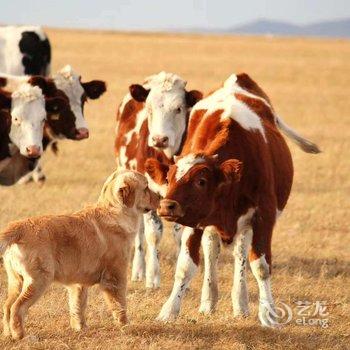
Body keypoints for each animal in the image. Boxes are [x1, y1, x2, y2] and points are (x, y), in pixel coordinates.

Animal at [0, 170, 160, 340]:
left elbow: (78, 306)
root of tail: (20, 226)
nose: (161, 197)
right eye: (146, 187)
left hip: (16, 281)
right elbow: (120, 304)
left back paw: (8, 334)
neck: (114, 212)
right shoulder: (115, 276)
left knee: (7, 306)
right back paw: (22, 336)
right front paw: (125, 326)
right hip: (39, 280)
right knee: (17, 308)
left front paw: (81, 328)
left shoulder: (78, 283)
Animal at [115, 71, 202, 288]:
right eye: (149, 107)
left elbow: (179, 234)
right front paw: (152, 277)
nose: (160, 139)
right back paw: (138, 270)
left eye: (179, 108)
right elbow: (153, 234)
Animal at [145, 73, 320, 326]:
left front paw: (268, 314)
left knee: (240, 254)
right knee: (211, 249)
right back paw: (209, 301)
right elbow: (186, 266)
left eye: (201, 181)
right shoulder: (194, 219)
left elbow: (260, 266)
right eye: (169, 177)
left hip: (246, 225)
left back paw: (241, 302)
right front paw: (169, 311)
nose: (167, 206)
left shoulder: (263, 217)